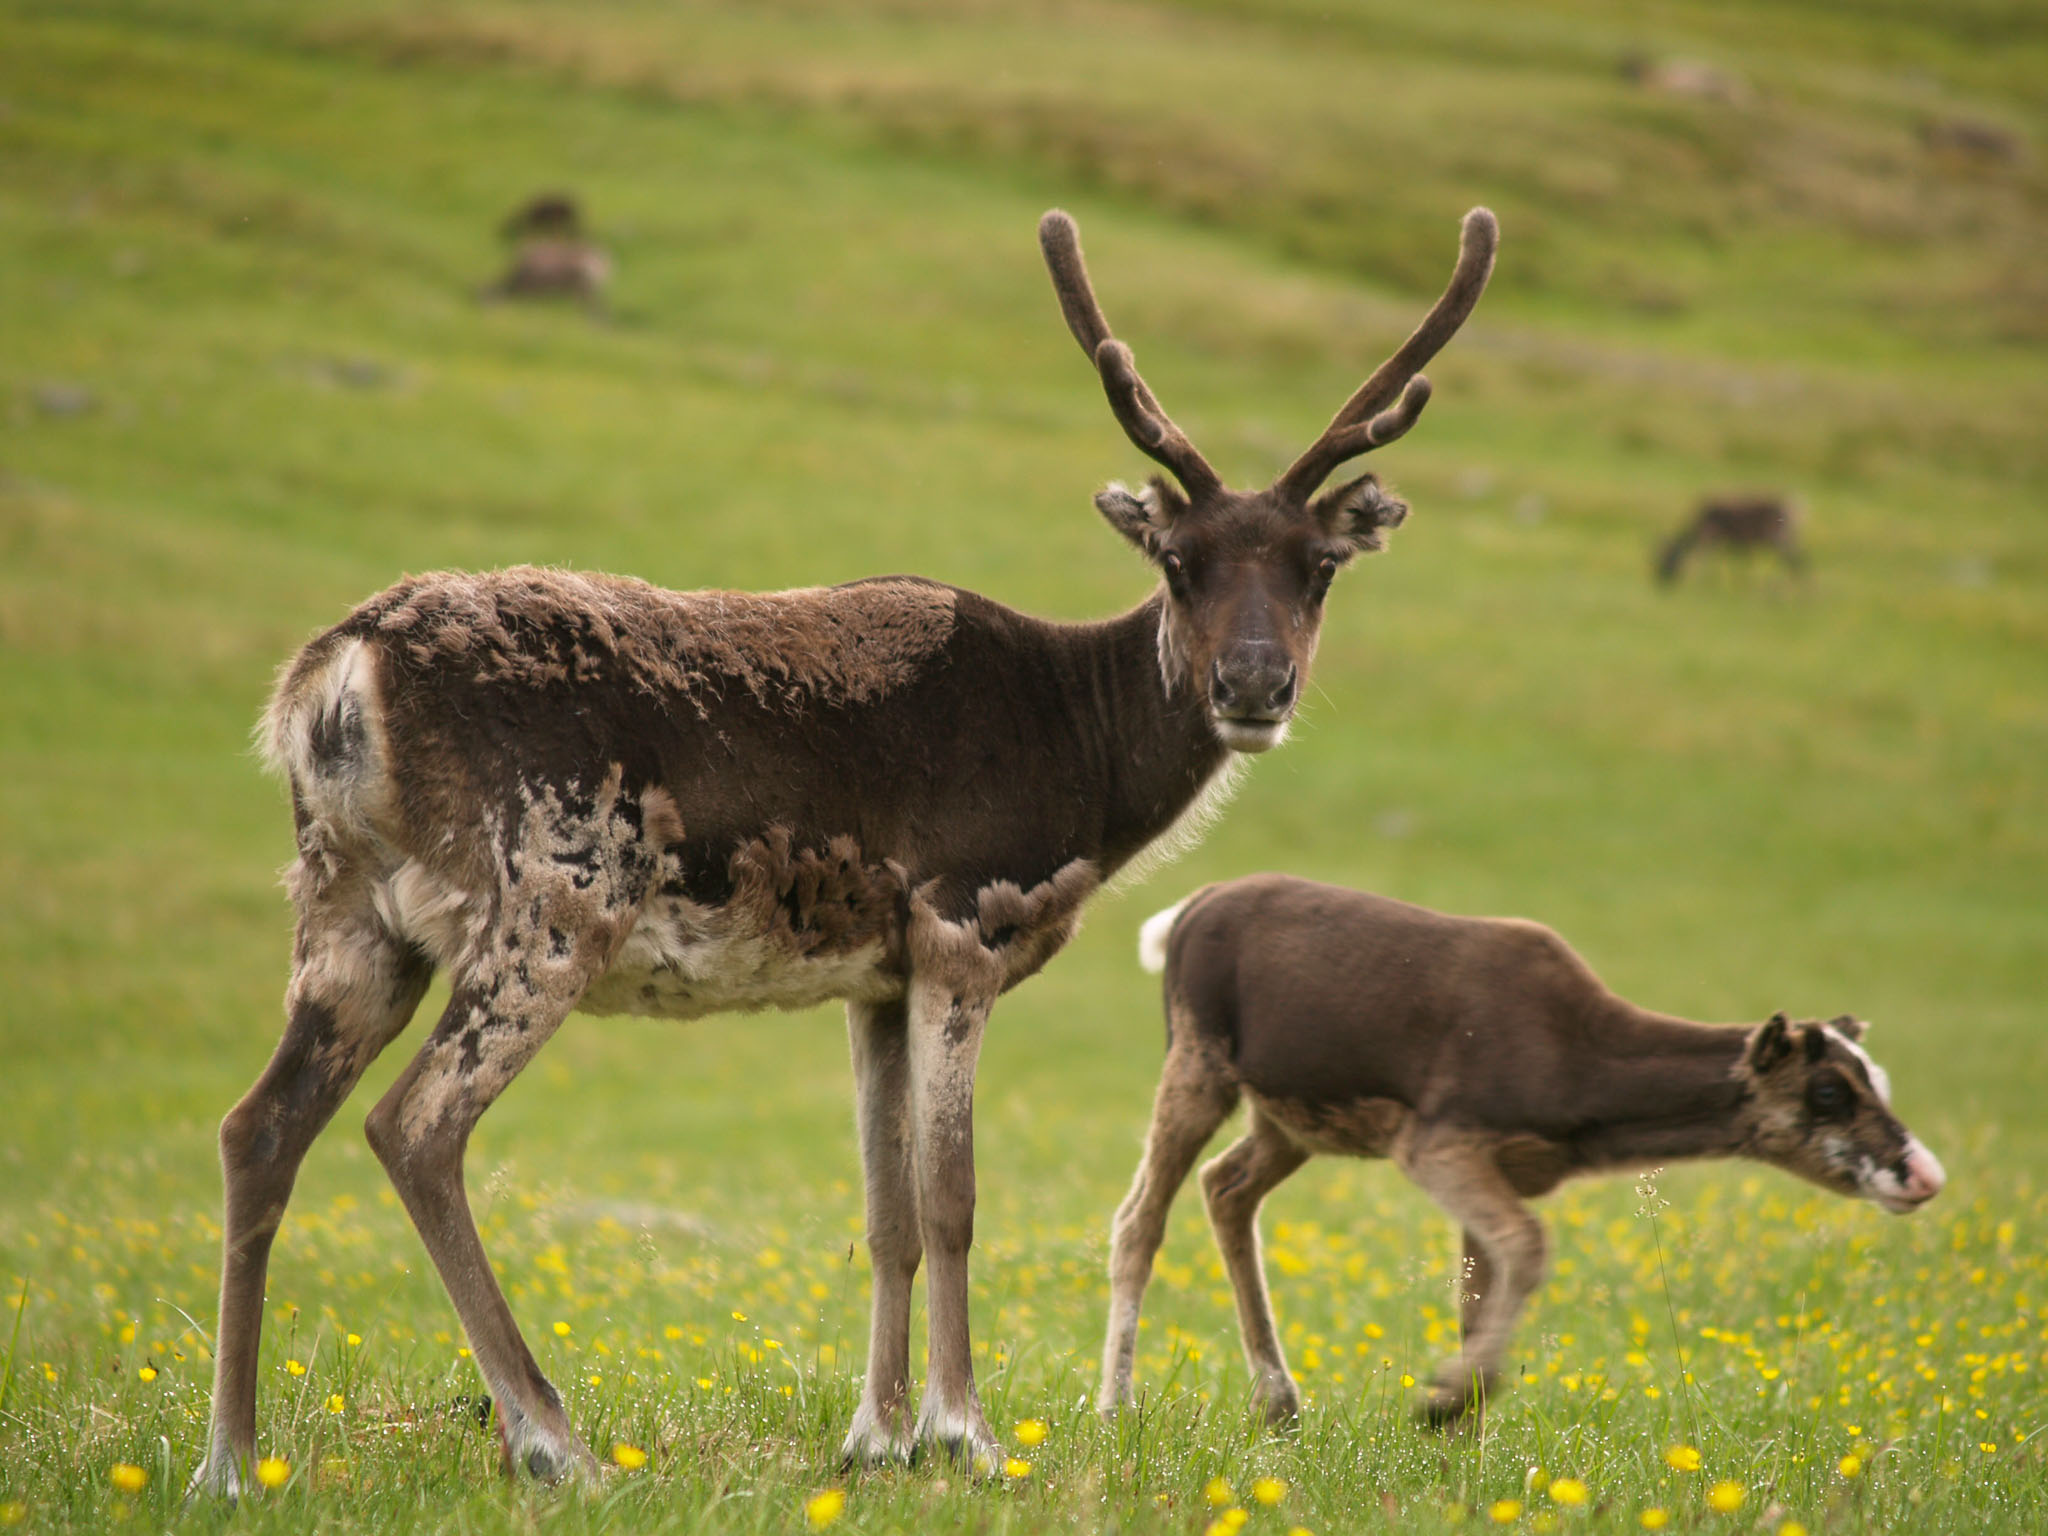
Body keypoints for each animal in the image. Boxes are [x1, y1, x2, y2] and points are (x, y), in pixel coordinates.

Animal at [1097, 876, 1941, 1433]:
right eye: (1828, 1091)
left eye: (1879, 1079)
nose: (1923, 1173)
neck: (1582, 1090)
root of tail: (1185, 911)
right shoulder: (1435, 1143)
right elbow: (1531, 1249)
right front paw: (1443, 1402)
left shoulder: (1493, 1167)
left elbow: (1477, 1292)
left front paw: (1460, 1439)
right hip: (1199, 1059)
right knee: (1140, 1216)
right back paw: (1116, 1406)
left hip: (1289, 1119)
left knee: (1226, 1187)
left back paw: (1278, 1402)